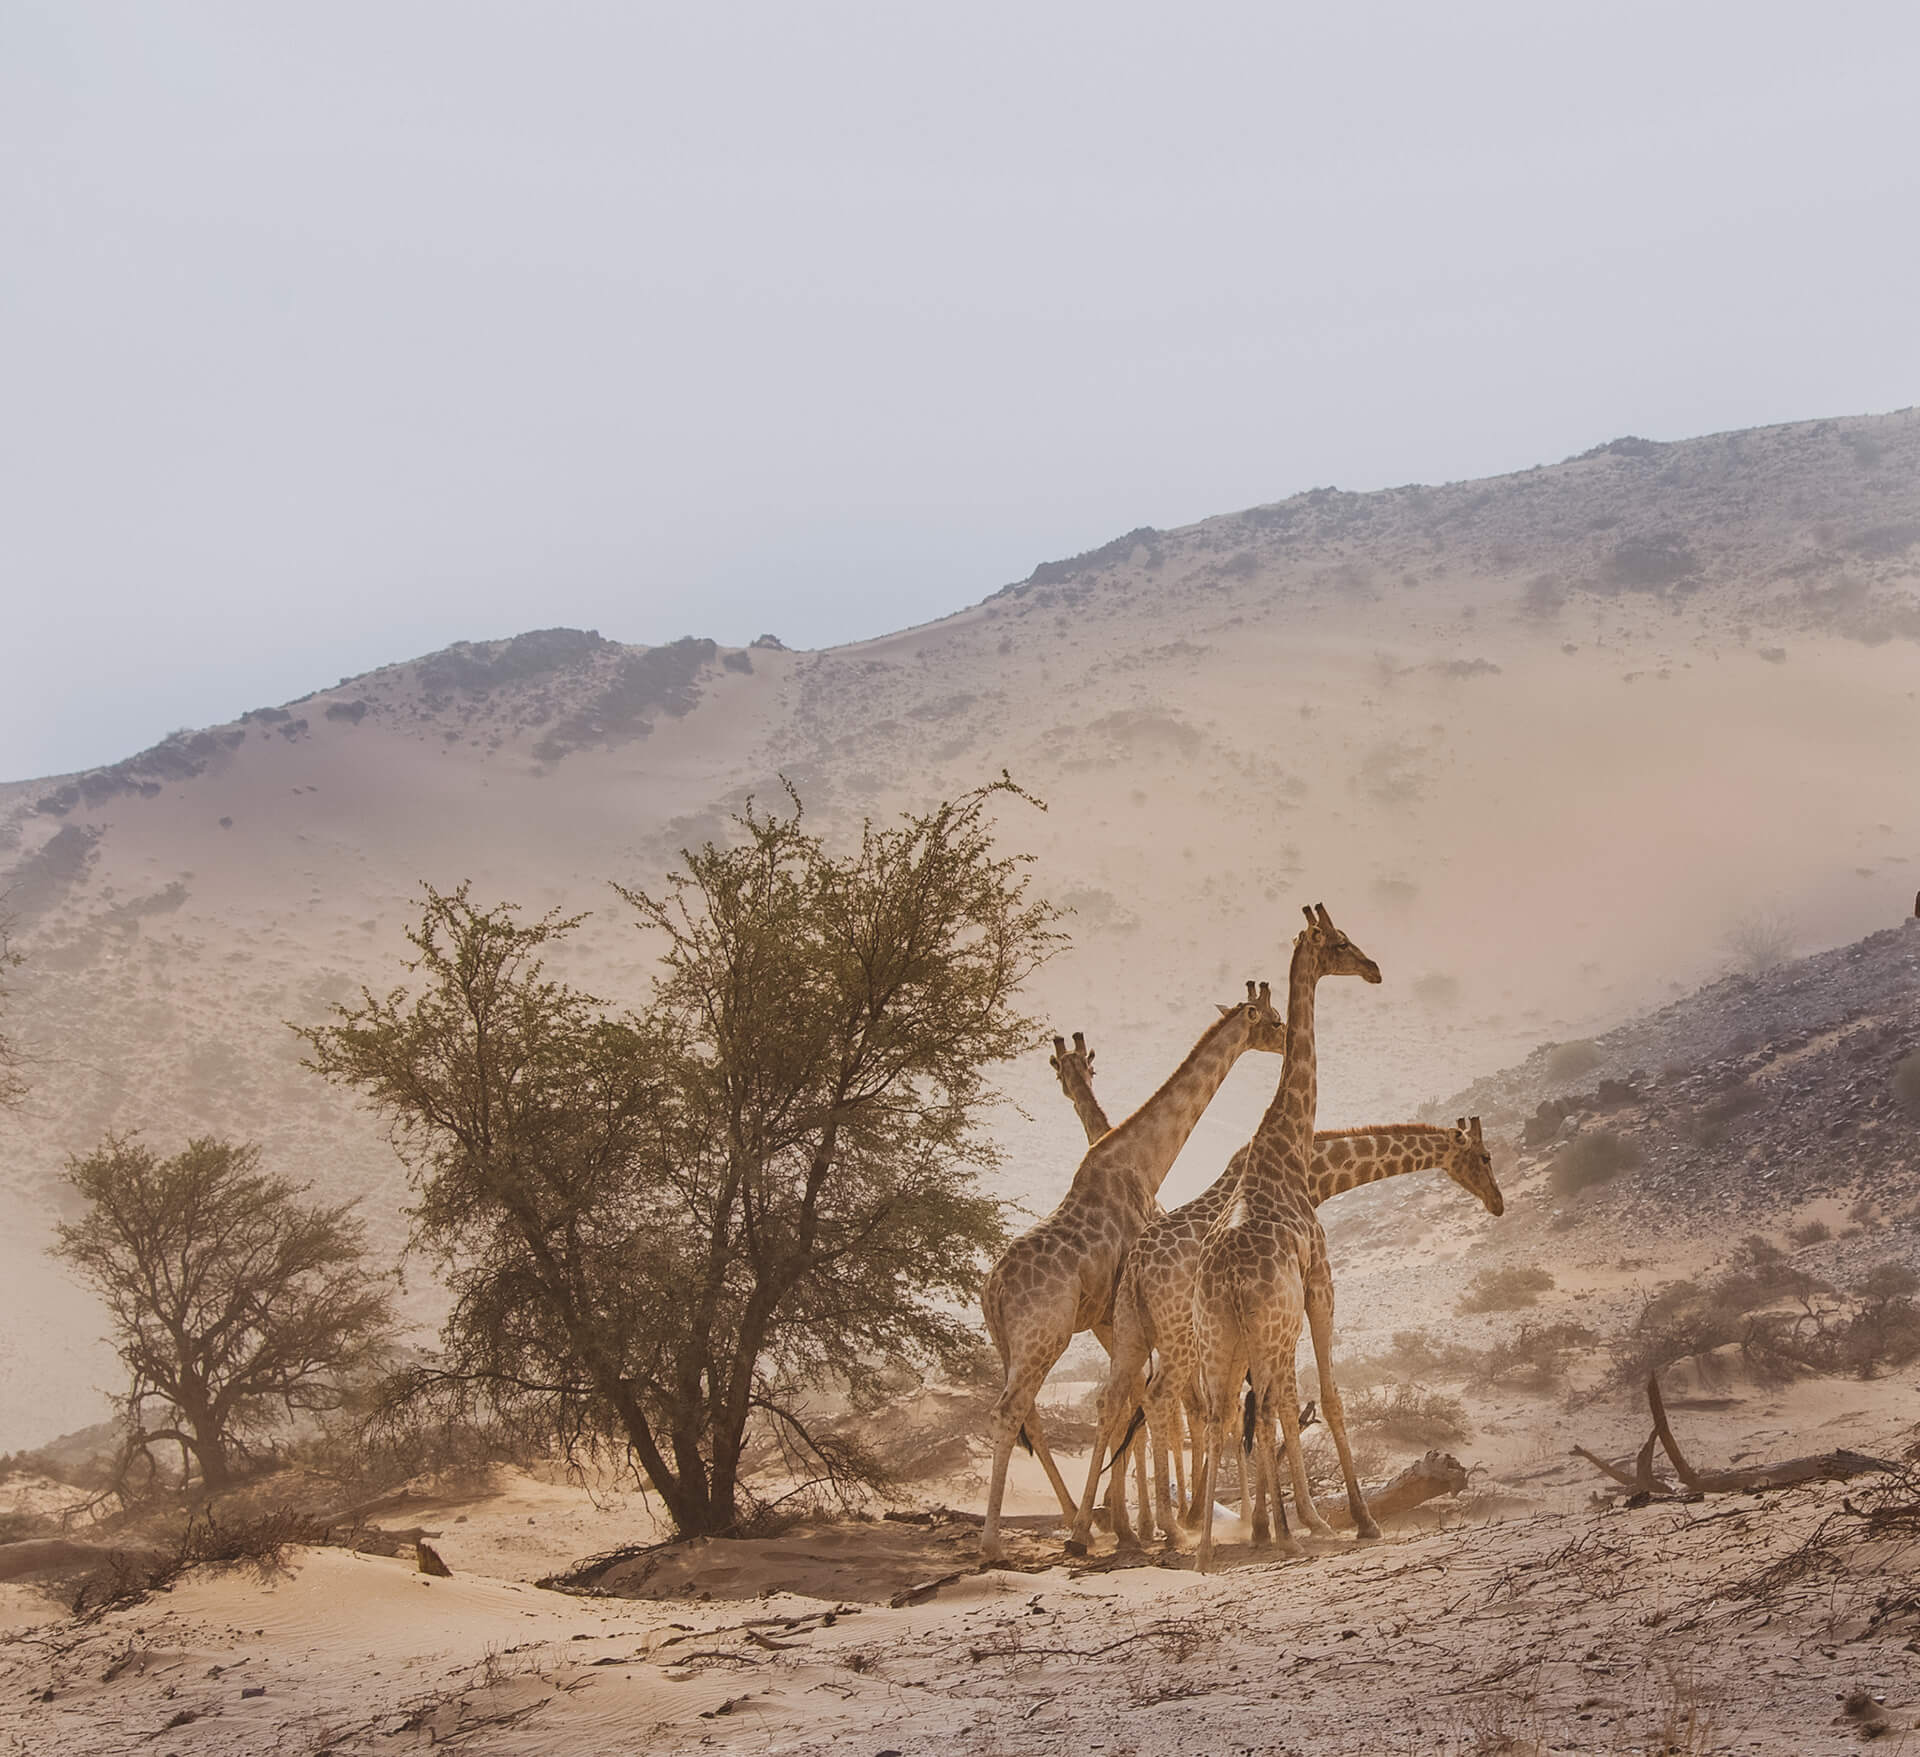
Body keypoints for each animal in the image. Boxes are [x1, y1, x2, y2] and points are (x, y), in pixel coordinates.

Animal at [983, 983, 1282, 1559]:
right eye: (1274, 1020)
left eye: (1085, 1066)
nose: (1287, 1040)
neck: (1143, 1161)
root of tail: (992, 1287)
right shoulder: (1126, 1310)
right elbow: (1142, 1407)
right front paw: (1141, 1524)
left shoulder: (1110, 1315)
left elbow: (1126, 1407)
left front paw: (1122, 1523)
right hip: (1043, 1336)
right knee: (1011, 1411)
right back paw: (995, 1543)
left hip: (1011, 1343)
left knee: (1032, 1413)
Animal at [1067, 1121, 1497, 1543]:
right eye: (1484, 1156)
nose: (1498, 1202)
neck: (1316, 1174)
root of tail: (1138, 1267)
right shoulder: (1291, 1304)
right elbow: (1290, 1401)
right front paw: (1312, 1520)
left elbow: (1256, 1409)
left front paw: (1265, 1521)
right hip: (1179, 1335)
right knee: (1159, 1401)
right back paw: (1168, 1527)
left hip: (1131, 1331)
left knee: (1117, 1402)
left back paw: (1099, 1528)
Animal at [1190, 898, 1374, 1574]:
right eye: (1340, 941)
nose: (1374, 968)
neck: (1287, 1145)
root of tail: (1230, 1281)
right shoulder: (1321, 1281)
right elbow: (1332, 1395)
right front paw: (1362, 1521)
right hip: (1266, 1329)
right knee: (1266, 1407)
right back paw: (1285, 1535)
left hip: (1220, 1338)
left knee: (1223, 1415)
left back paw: (1210, 1550)